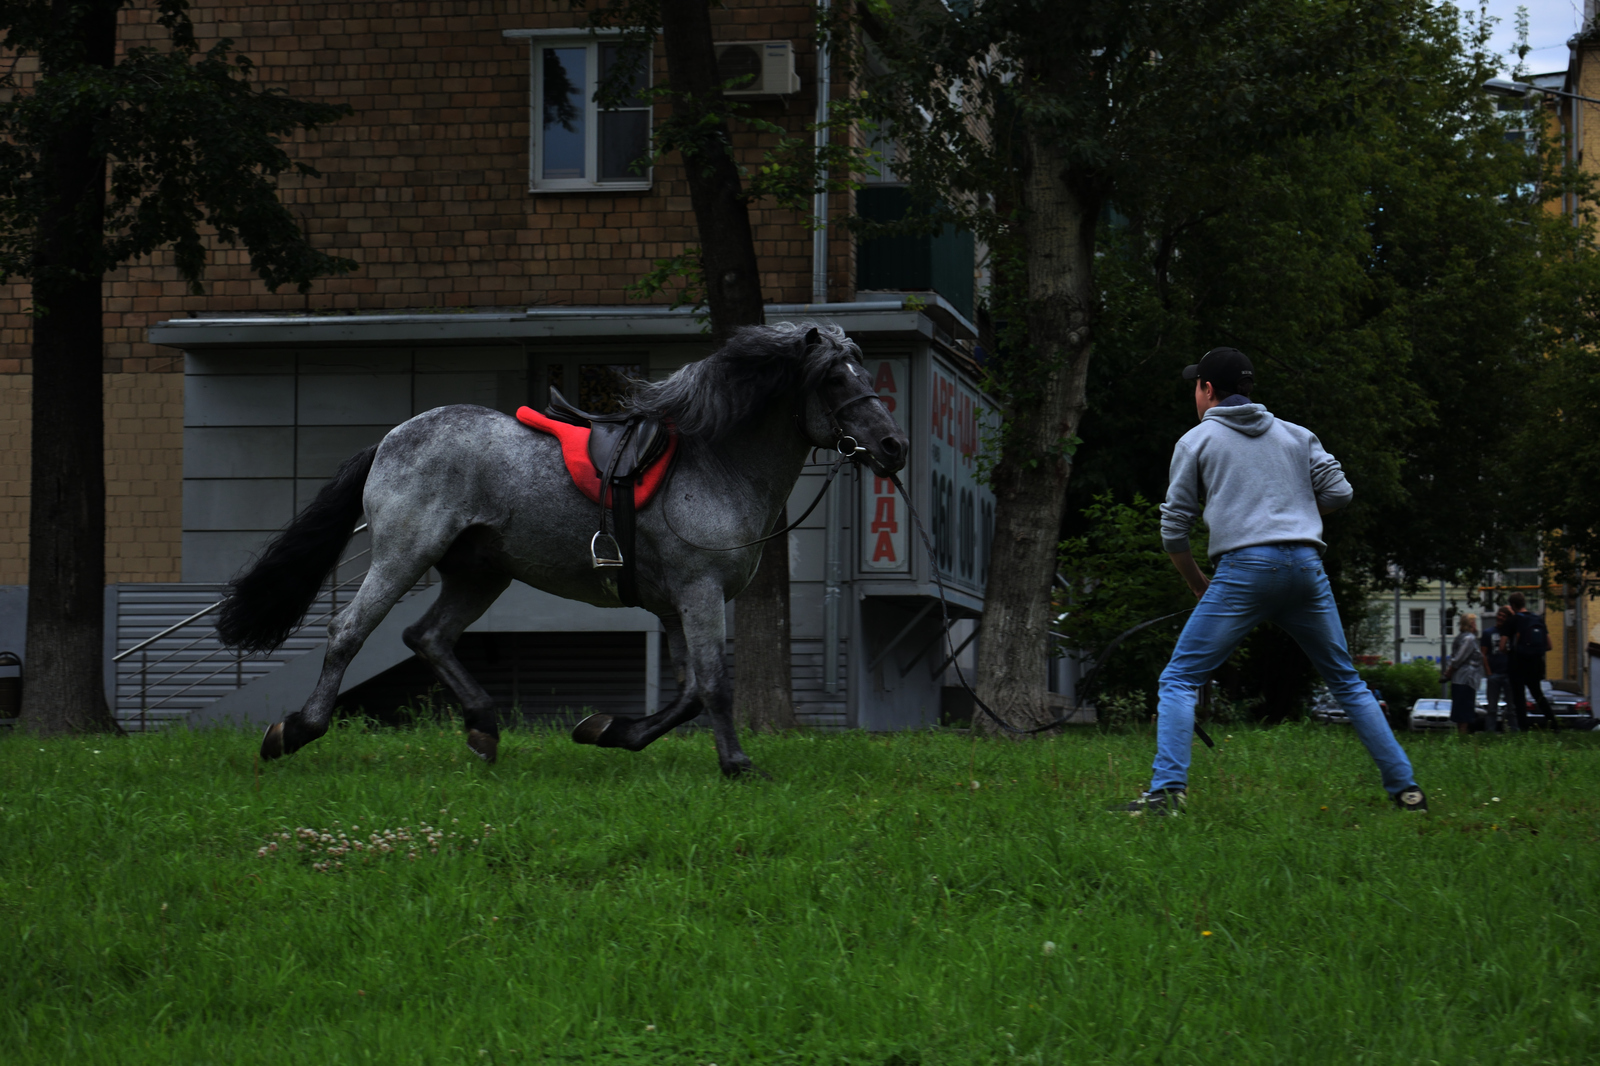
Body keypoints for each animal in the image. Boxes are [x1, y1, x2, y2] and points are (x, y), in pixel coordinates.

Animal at [217, 320, 908, 777]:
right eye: (833, 379)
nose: (893, 447)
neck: (717, 464)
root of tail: (389, 440)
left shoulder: (677, 604)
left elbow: (686, 693)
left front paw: (608, 730)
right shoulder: (700, 592)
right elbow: (713, 685)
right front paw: (737, 763)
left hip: (481, 573)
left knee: (427, 636)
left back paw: (484, 729)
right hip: (403, 554)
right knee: (348, 631)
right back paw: (295, 731)